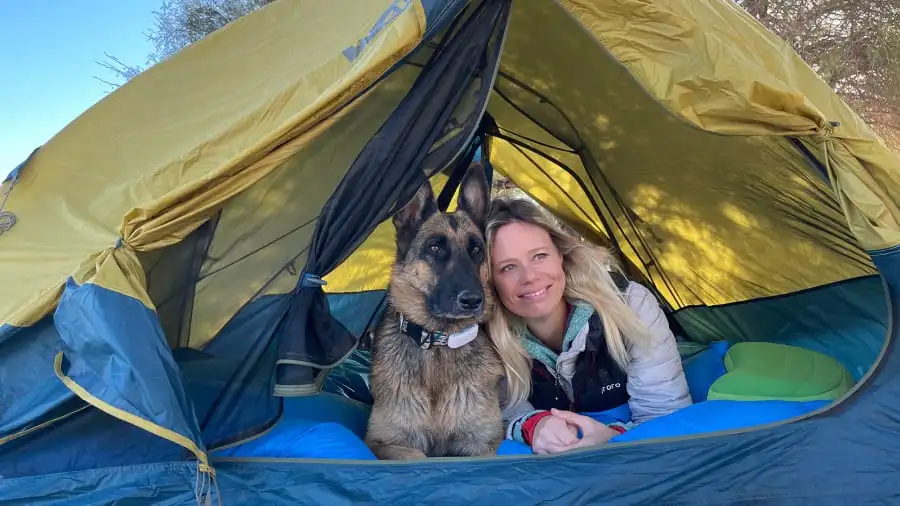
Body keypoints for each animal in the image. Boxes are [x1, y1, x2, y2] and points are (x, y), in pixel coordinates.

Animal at [366, 165, 506, 458]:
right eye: (435, 247)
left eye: (476, 250)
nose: (473, 300)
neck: (438, 342)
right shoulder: (383, 442)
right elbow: (415, 456)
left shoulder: (482, 447)